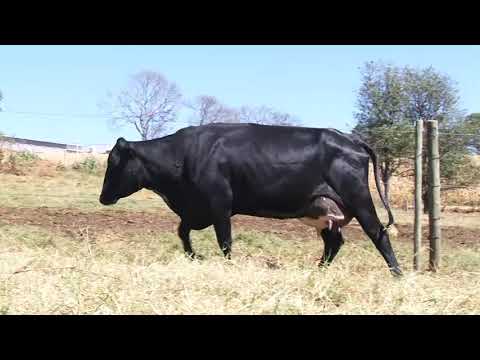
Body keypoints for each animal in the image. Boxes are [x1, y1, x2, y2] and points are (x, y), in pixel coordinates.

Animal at [99, 123, 404, 276]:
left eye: (114, 163)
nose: (102, 197)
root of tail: (350, 139)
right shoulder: (198, 210)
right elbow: (182, 231)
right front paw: (193, 256)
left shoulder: (220, 204)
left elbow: (224, 241)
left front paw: (228, 265)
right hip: (324, 210)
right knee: (334, 242)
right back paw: (318, 271)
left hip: (359, 199)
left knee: (378, 234)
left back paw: (397, 274)